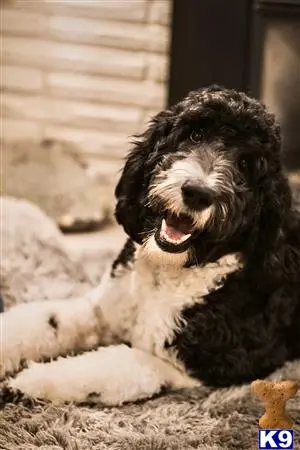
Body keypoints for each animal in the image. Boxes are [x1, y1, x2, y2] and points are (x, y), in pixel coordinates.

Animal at [0, 86, 300, 406]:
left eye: (246, 164)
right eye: (195, 134)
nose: (197, 192)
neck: (167, 275)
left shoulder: (210, 366)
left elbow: (120, 364)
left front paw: (30, 381)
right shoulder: (103, 309)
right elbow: (46, 321)